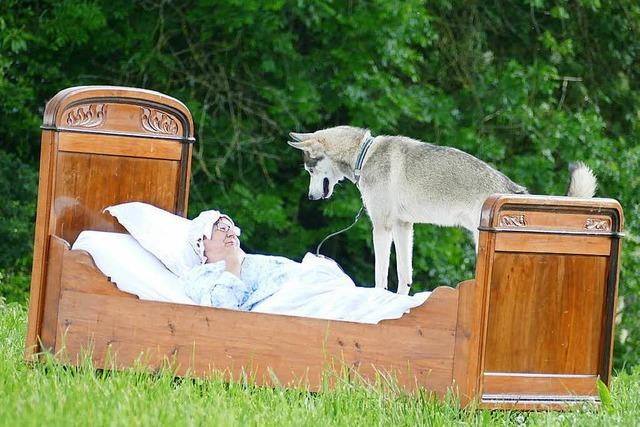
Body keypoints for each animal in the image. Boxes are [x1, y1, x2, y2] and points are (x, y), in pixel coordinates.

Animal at [288, 125, 596, 296]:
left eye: (309, 170)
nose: (311, 196)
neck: (365, 154)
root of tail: (513, 188)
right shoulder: (403, 227)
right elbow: (404, 275)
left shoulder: (382, 226)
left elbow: (380, 275)